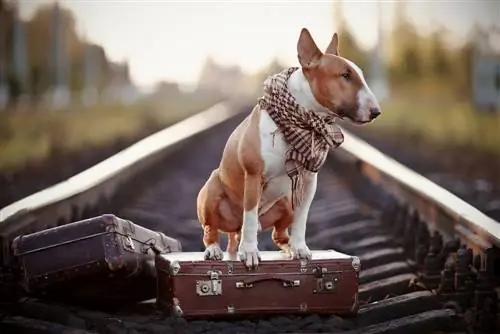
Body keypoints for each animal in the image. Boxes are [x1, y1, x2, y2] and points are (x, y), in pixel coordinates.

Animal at [197, 28, 380, 268]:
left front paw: (301, 248)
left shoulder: (308, 182)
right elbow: (250, 216)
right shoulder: (253, 176)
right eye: (345, 75)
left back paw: (289, 248)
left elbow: (302, 219)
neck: (302, 122)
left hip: (285, 201)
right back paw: (214, 250)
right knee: (212, 230)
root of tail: (233, 231)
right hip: (212, 189)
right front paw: (250, 252)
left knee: (278, 235)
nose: (376, 112)